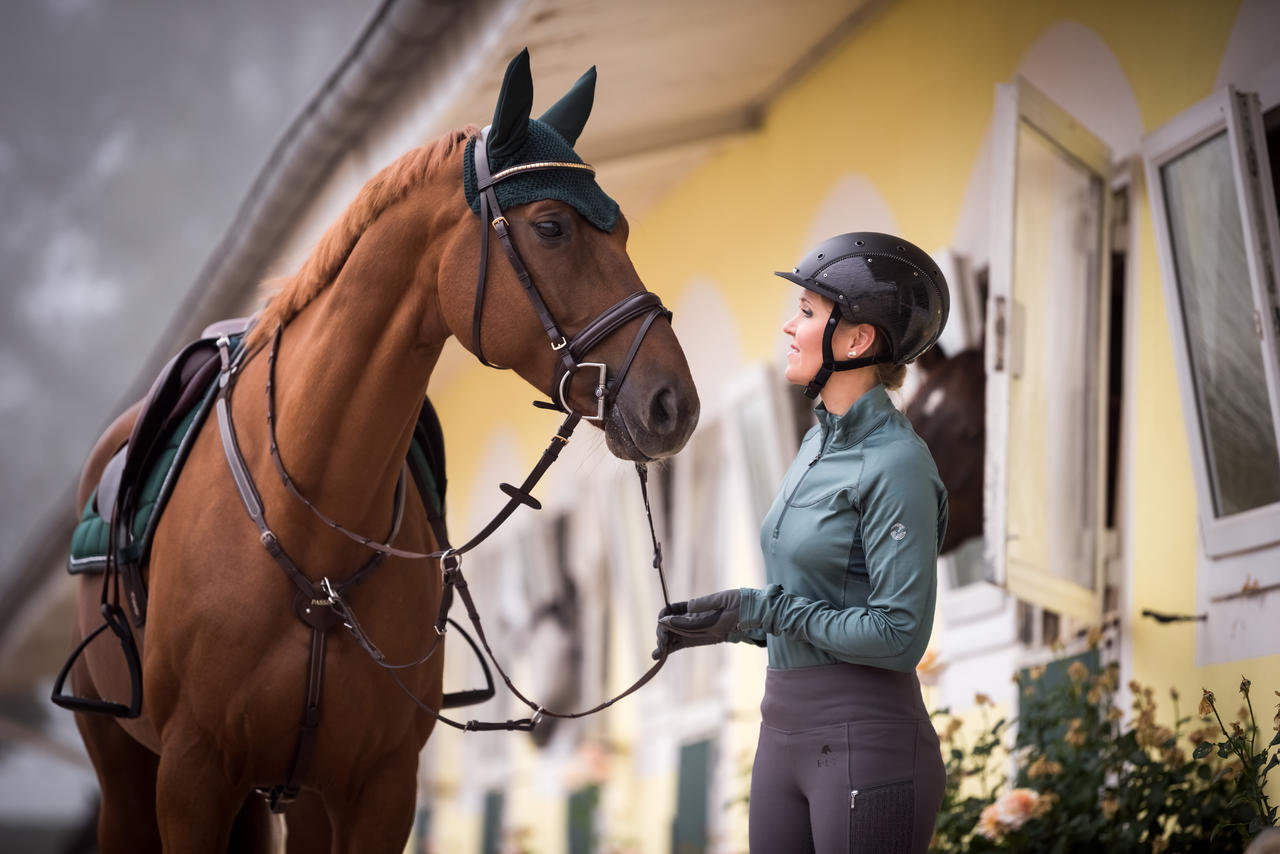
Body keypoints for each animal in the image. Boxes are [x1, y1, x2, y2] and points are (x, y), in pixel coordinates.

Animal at [64, 50, 696, 850]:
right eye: (551, 226)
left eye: (621, 233)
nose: (673, 403)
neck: (311, 534)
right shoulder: (191, 777)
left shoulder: (380, 787)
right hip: (127, 774)